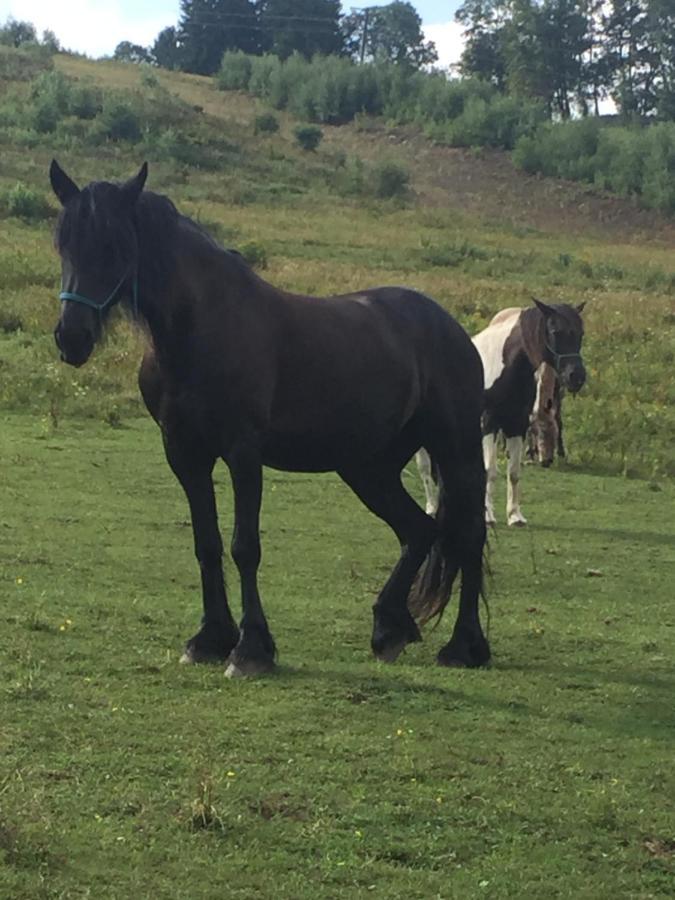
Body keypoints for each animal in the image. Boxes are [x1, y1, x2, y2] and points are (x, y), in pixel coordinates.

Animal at [48, 162, 492, 676]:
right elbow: (206, 544)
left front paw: (250, 648)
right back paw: (389, 629)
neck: (201, 330)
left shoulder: (243, 452)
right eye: (64, 242)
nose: (71, 337)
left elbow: (245, 546)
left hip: (456, 452)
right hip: (368, 468)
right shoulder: (184, 453)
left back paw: (464, 646)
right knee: (418, 530)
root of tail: (452, 328)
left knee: (468, 536)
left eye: (115, 245)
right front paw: (208, 638)